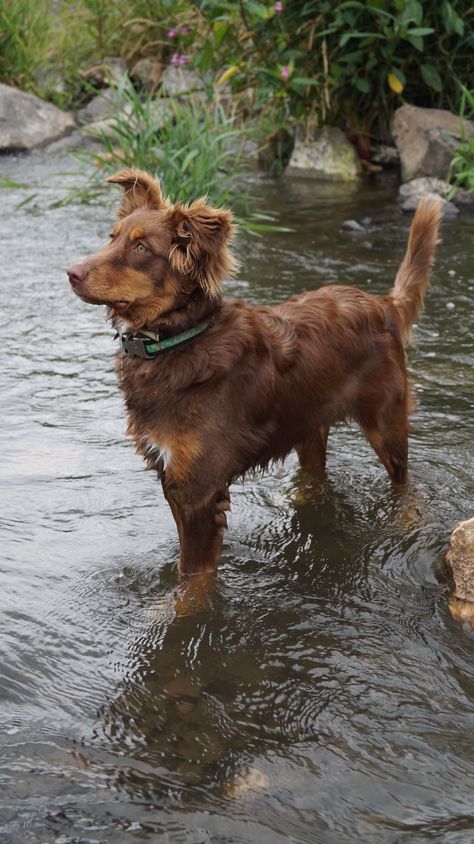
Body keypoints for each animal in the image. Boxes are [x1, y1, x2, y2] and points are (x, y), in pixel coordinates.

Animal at [68, 170, 442, 580]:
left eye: (140, 248)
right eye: (112, 237)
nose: (71, 273)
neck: (177, 342)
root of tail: (381, 303)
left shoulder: (200, 492)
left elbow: (193, 581)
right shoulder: (173, 479)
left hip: (386, 423)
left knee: (405, 484)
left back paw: (407, 521)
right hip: (307, 423)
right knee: (316, 477)